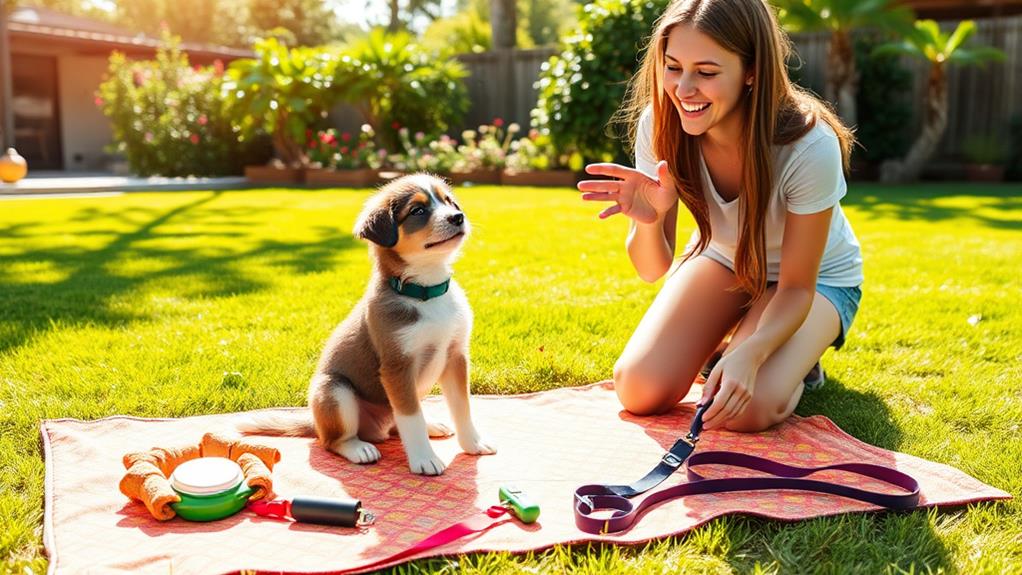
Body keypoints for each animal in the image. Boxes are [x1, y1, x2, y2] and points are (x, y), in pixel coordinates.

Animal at [239, 172, 494, 477]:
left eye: (449, 201)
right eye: (418, 211)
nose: (458, 217)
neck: (425, 292)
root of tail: (315, 423)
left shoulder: (456, 356)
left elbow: (462, 407)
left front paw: (473, 444)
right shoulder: (397, 366)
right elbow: (411, 418)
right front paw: (424, 459)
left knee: (397, 424)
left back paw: (431, 425)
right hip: (335, 392)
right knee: (333, 440)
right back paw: (358, 448)